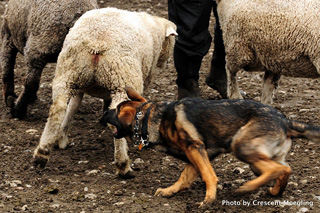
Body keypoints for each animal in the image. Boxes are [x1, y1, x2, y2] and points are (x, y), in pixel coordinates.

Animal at [33, 7, 176, 176]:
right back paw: (123, 165)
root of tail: (96, 43)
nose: (166, 63)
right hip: (123, 79)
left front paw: (62, 137)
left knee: (57, 110)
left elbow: (72, 108)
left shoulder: (79, 88)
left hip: (67, 73)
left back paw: (42, 154)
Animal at [103, 86, 320, 206]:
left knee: (278, 169)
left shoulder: (195, 148)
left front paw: (208, 200)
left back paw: (246, 187)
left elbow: (208, 175)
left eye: (116, 111)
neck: (152, 117)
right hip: (261, 160)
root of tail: (286, 121)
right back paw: (275, 191)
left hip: (241, 145)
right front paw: (169, 191)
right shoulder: (198, 154)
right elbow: (185, 176)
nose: (104, 113)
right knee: (284, 169)